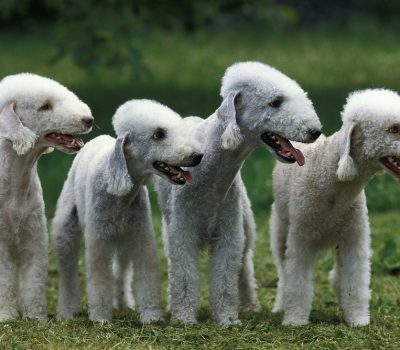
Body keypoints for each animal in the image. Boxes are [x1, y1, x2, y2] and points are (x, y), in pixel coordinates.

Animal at [0, 73, 93, 320]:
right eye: (44, 106)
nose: (89, 119)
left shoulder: (35, 235)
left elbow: (34, 279)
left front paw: (36, 317)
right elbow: (5, 279)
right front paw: (7, 316)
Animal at [52, 99, 203, 322]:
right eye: (158, 134)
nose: (197, 156)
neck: (119, 192)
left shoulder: (141, 237)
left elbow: (147, 275)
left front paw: (151, 316)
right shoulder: (99, 241)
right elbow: (99, 279)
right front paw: (100, 318)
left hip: (123, 240)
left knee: (121, 271)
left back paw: (123, 304)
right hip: (66, 227)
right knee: (68, 272)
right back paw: (67, 311)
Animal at [270, 89, 400, 326]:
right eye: (394, 128)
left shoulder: (354, 238)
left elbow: (355, 280)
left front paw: (358, 319)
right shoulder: (301, 239)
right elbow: (297, 281)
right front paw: (295, 320)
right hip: (280, 228)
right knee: (283, 273)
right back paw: (280, 306)